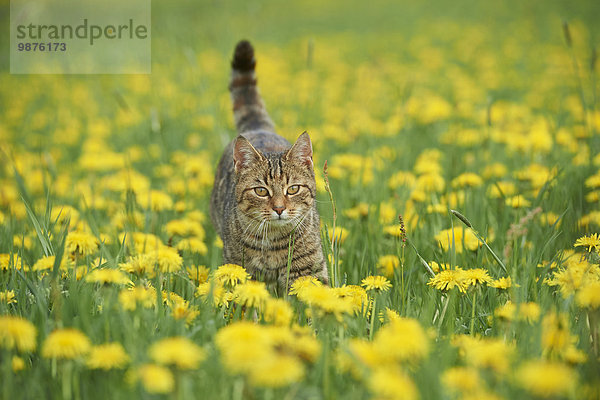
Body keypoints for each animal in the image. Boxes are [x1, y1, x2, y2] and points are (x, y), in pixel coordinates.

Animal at [210, 40, 330, 292]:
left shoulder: (308, 271)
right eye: (261, 191)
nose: (279, 208)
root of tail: (259, 128)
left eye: (293, 189)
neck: (274, 242)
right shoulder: (240, 269)